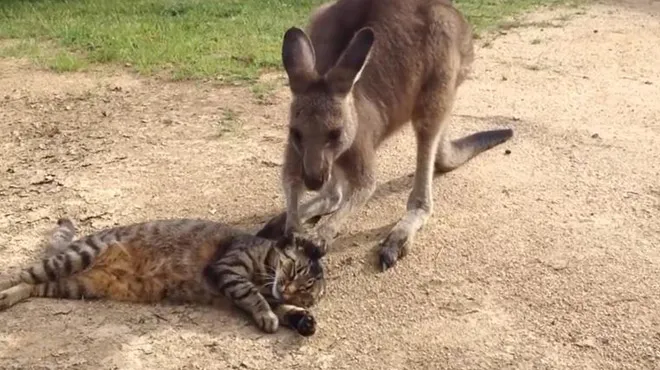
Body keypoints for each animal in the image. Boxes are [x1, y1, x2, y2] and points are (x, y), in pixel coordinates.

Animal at [0, 217, 328, 336]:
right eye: (294, 271)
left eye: (305, 291)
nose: (289, 289)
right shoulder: (227, 269)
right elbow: (254, 296)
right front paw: (268, 315)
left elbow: (281, 307)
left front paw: (302, 319)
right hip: (74, 258)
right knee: (23, 272)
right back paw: (3, 288)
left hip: (76, 285)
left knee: (33, 286)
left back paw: (8, 298)